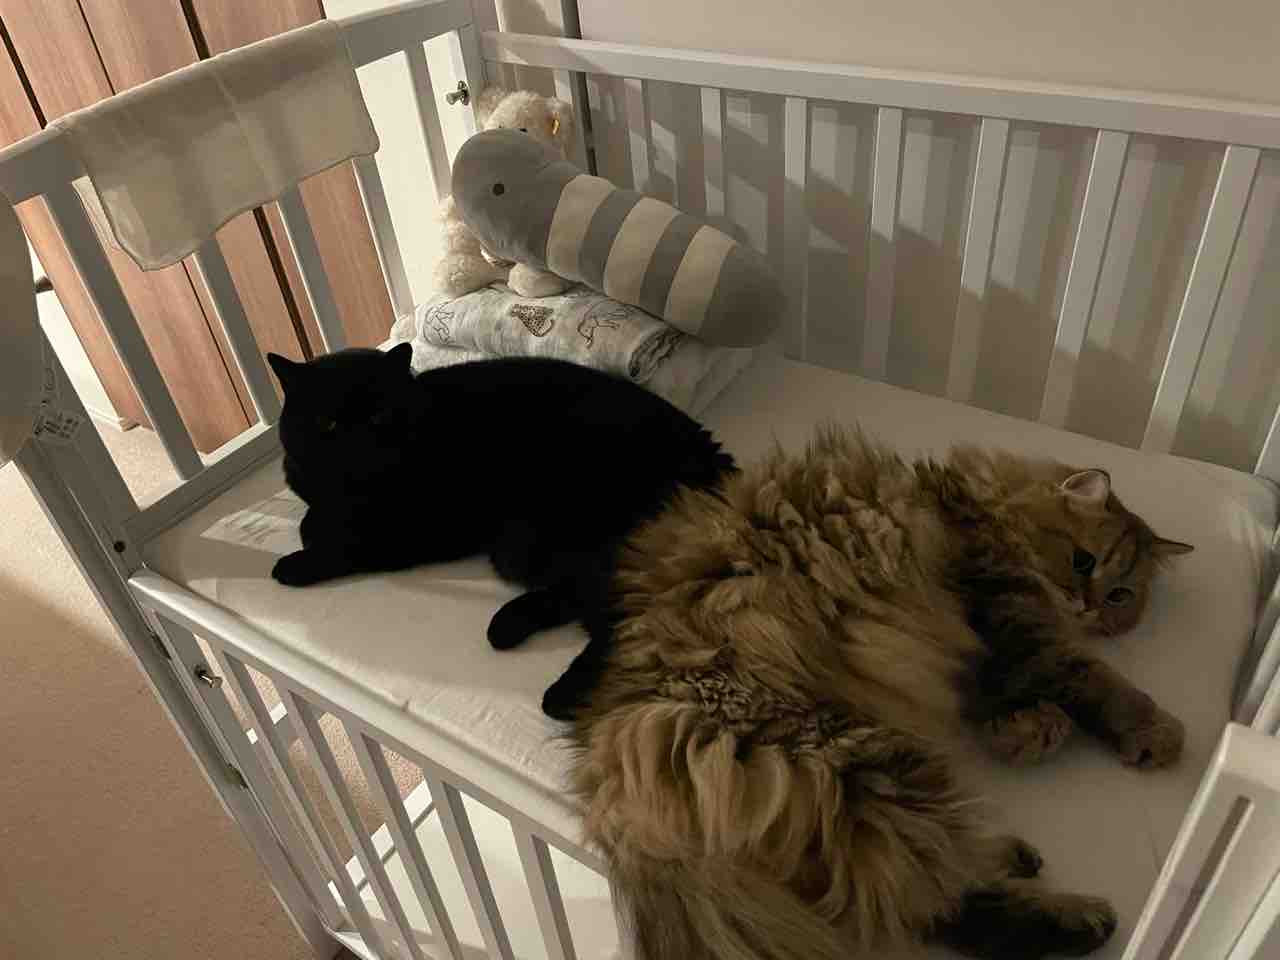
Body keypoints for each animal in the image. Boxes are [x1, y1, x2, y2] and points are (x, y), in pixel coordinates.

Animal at [265, 344, 734, 649]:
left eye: (380, 414)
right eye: (326, 424)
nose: (358, 443)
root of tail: (710, 454)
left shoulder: (421, 529)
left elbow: (351, 546)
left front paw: (296, 563)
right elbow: (312, 515)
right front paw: (313, 527)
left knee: (623, 621)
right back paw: (509, 628)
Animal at [549, 428, 1193, 960]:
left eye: (1121, 596)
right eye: (1083, 561)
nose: (1088, 608)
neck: (979, 504)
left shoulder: (982, 649)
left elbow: (1002, 702)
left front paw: (1030, 729)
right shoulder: (1010, 620)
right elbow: (1097, 684)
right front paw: (1147, 731)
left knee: (920, 896)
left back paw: (1018, 861)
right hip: (860, 766)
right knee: (931, 894)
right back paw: (1078, 917)